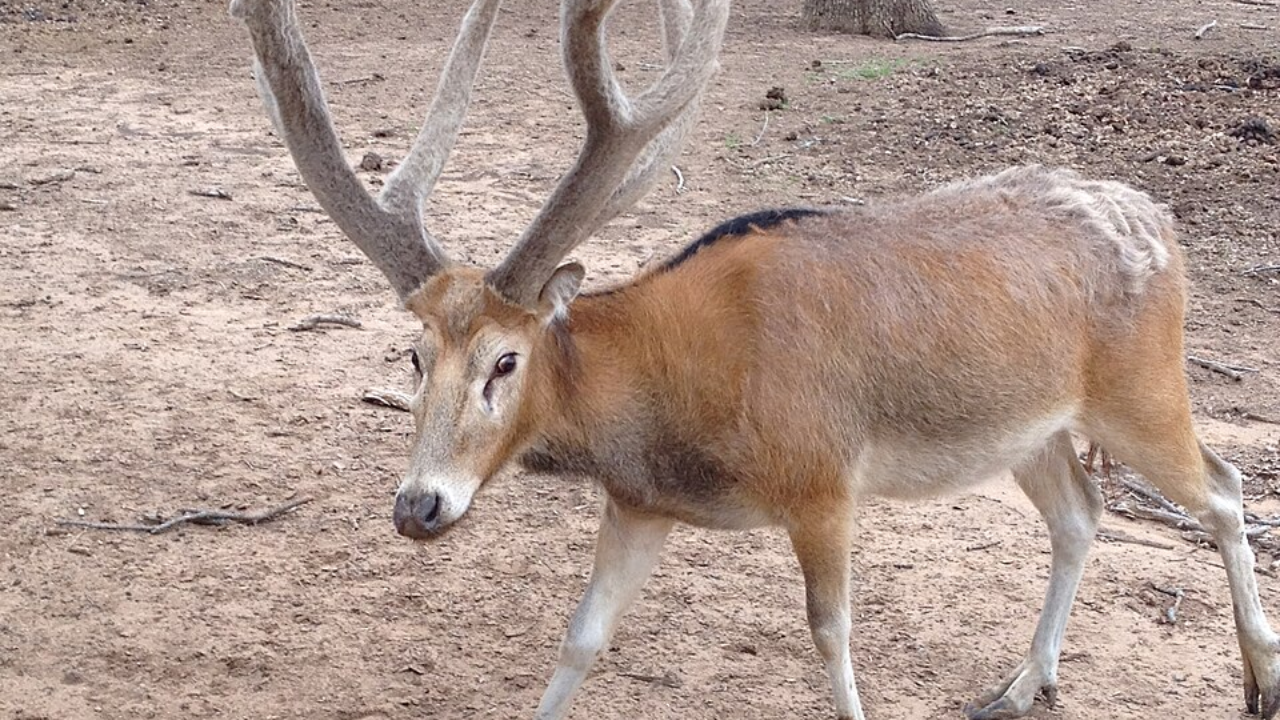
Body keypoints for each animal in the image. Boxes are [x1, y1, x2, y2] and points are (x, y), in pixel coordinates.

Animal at [229, 0, 1280, 717]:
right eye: (412, 357)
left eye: (504, 361)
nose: (419, 506)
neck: (679, 400)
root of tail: (1164, 221)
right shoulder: (640, 503)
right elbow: (581, 638)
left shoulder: (823, 481)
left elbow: (832, 637)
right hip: (1032, 432)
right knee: (1083, 512)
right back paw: (1022, 686)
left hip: (1141, 390)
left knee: (1226, 489)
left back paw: (1257, 678)